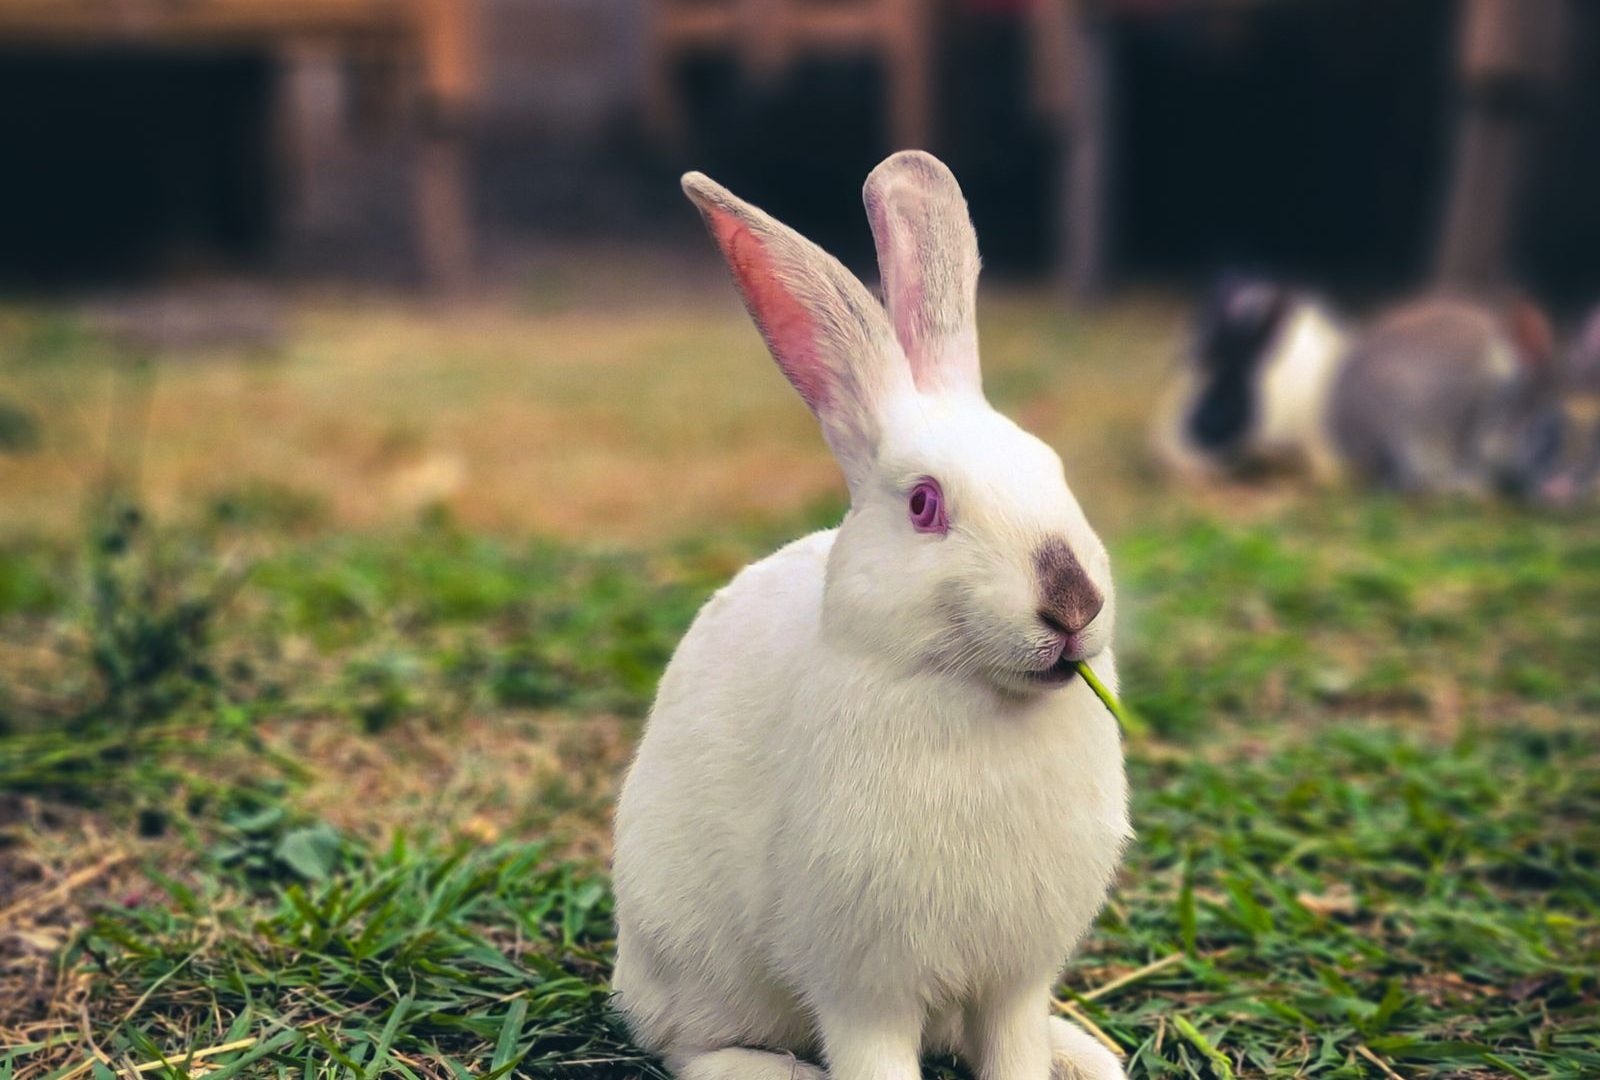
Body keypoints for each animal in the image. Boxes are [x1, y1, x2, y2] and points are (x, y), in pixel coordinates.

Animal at [611, 150, 1131, 1080]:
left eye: (1052, 467)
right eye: (924, 504)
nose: (1073, 603)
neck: (974, 695)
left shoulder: (1013, 978)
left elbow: (1011, 1045)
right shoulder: (866, 988)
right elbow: (876, 1055)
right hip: (694, 962)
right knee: (686, 1047)